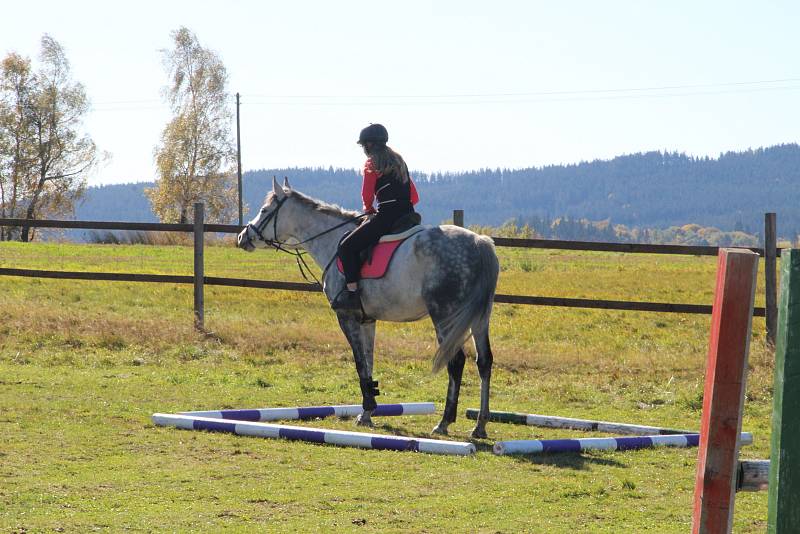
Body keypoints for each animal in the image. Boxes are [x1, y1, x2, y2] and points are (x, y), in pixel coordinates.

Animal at [238, 177, 500, 440]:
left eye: (265, 211)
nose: (242, 237)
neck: (331, 241)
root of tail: (479, 243)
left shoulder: (347, 317)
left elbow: (359, 363)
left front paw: (367, 408)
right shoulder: (367, 320)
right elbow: (369, 360)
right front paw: (368, 411)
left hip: (445, 316)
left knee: (456, 361)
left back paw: (444, 421)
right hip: (480, 318)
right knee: (484, 362)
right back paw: (480, 425)